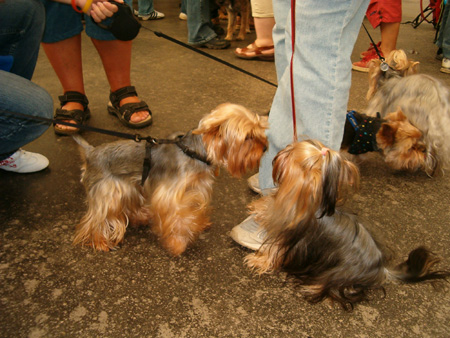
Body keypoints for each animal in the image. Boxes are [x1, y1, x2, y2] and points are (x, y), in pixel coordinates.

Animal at [72, 103, 266, 256]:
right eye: (248, 137)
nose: (265, 148)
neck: (194, 152)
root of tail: (90, 153)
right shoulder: (170, 195)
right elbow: (179, 216)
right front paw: (178, 243)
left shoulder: (198, 186)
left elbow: (196, 206)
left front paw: (200, 222)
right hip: (107, 193)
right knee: (96, 219)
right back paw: (99, 241)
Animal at [244, 141, 448, 312]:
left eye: (299, 161)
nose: (284, 150)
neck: (305, 198)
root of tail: (381, 269)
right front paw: (258, 208)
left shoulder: (290, 236)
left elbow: (274, 251)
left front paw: (258, 260)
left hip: (338, 272)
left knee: (330, 284)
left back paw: (313, 288)